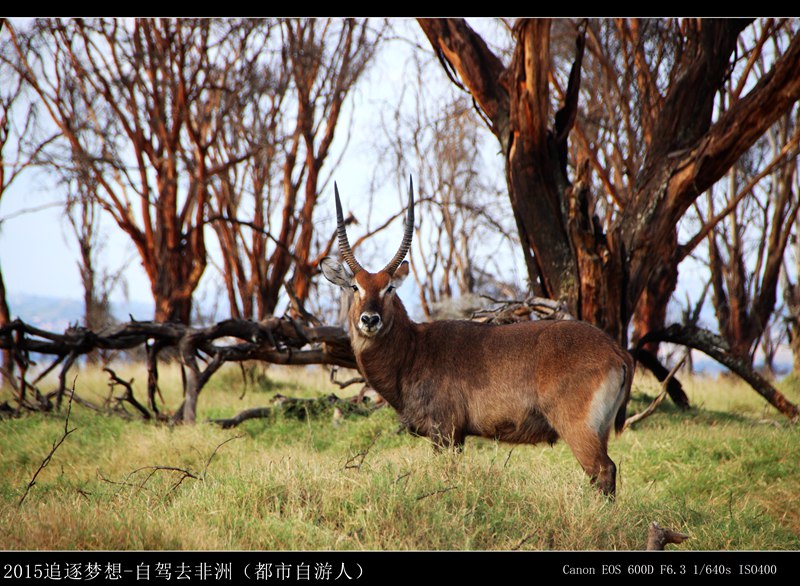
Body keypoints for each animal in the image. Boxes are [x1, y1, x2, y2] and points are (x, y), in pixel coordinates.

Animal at [318, 177, 632, 492]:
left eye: (390, 288)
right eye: (355, 286)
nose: (370, 320)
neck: (413, 349)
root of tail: (615, 350)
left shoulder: (444, 431)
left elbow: (446, 475)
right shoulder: (456, 437)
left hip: (579, 430)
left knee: (603, 471)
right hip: (599, 431)